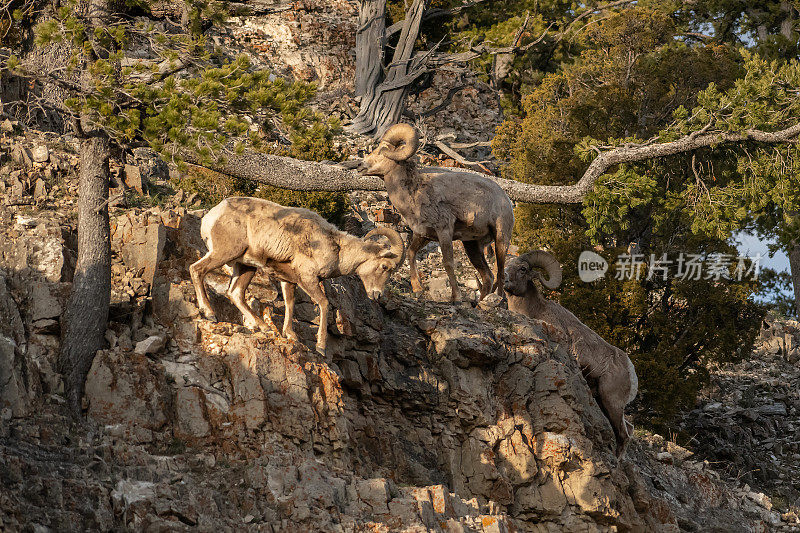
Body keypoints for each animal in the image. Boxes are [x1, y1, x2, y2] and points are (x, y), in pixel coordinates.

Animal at [189, 195, 406, 354]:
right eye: (385, 267)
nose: (377, 295)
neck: (336, 247)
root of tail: (212, 216)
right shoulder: (308, 278)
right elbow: (324, 304)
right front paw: (320, 347)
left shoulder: (288, 281)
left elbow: (290, 304)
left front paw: (290, 334)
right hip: (224, 253)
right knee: (197, 270)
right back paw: (209, 313)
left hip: (245, 267)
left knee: (235, 293)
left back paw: (264, 327)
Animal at [356, 122, 512, 302]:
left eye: (381, 151)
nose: (359, 166)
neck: (414, 193)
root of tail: (506, 199)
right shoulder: (423, 234)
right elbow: (411, 253)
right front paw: (417, 289)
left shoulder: (444, 231)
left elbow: (448, 263)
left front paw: (456, 297)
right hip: (472, 246)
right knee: (487, 276)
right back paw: (481, 302)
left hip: (501, 239)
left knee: (500, 273)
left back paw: (498, 300)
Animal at [506, 251, 636, 456]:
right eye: (505, 267)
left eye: (523, 269)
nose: (505, 280)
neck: (535, 309)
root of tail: (630, 370)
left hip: (611, 402)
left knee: (624, 435)